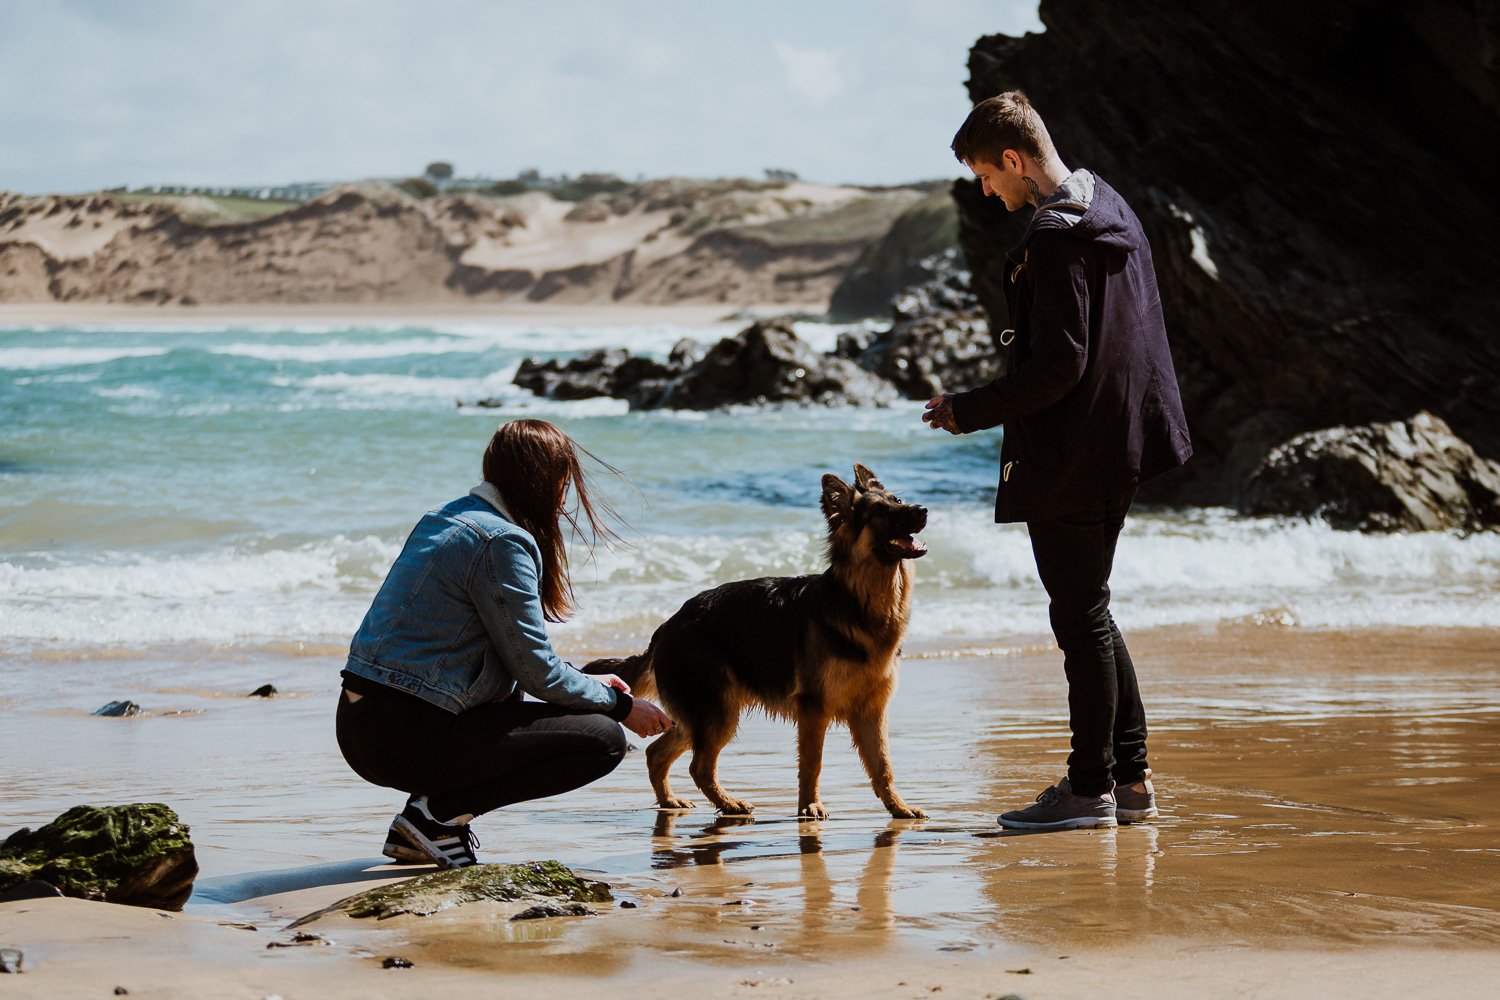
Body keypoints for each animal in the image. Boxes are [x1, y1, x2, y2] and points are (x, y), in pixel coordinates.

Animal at [585, 464, 924, 815]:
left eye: (898, 500)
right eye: (880, 512)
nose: (923, 510)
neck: (860, 601)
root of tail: (666, 627)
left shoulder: (872, 710)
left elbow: (883, 764)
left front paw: (899, 808)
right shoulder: (814, 708)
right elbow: (812, 763)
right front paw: (809, 806)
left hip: (703, 715)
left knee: (657, 753)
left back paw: (670, 800)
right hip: (717, 712)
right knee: (698, 766)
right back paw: (728, 803)